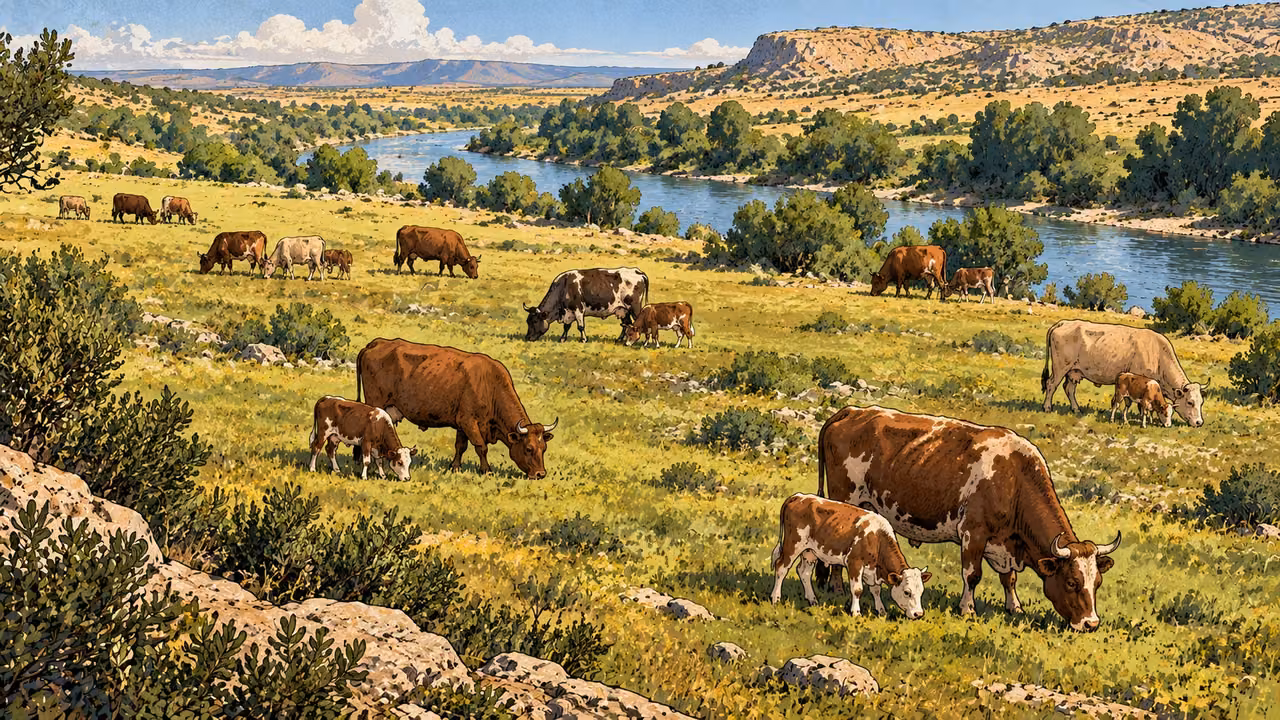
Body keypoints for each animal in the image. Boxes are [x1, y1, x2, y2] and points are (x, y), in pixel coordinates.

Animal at [355, 338, 557, 479]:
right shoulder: (469, 422)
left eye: (544, 448)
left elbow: (460, 446)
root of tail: (376, 343)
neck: (489, 384)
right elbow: (481, 447)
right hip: (376, 404)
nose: (540, 474)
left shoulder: (461, 424)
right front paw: (486, 470)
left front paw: (455, 467)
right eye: (529, 448)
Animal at [770, 493, 931, 618]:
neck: (877, 538)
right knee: (781, 567)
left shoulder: (873, 571)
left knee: (804, 572)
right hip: (793, 544)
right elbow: (857, 589)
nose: (918, 614)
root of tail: (798, 497)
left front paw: (881, 611)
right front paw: (856, 612)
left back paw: (813, 600)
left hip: (810, 551)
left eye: (921, 592)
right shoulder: (855, 563)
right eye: (907, 592)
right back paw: (775, 598)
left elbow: (876, 590)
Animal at [816, 405, 1121, 632]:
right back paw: (836, 586)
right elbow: (972, 575)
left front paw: (1014, 606)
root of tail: (852, 411)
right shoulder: (973, 533)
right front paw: (967, 609)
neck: (1014, 478)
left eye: (1097, 583)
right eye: (1071, 582)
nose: (1091, 624)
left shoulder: (1003, 543)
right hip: (845, 498)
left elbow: (1009, 579)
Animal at [1042, 320, 1205, 427]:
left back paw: (1076, 409)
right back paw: (1047, 407)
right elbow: (1141, 406)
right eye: (1190, 402)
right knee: (1051, 384)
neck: (1158, 353)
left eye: (1201, 402)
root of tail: (1064, 322)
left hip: (1073, 371)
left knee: (1069, 389)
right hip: (1060, 367)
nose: (1199, 422)